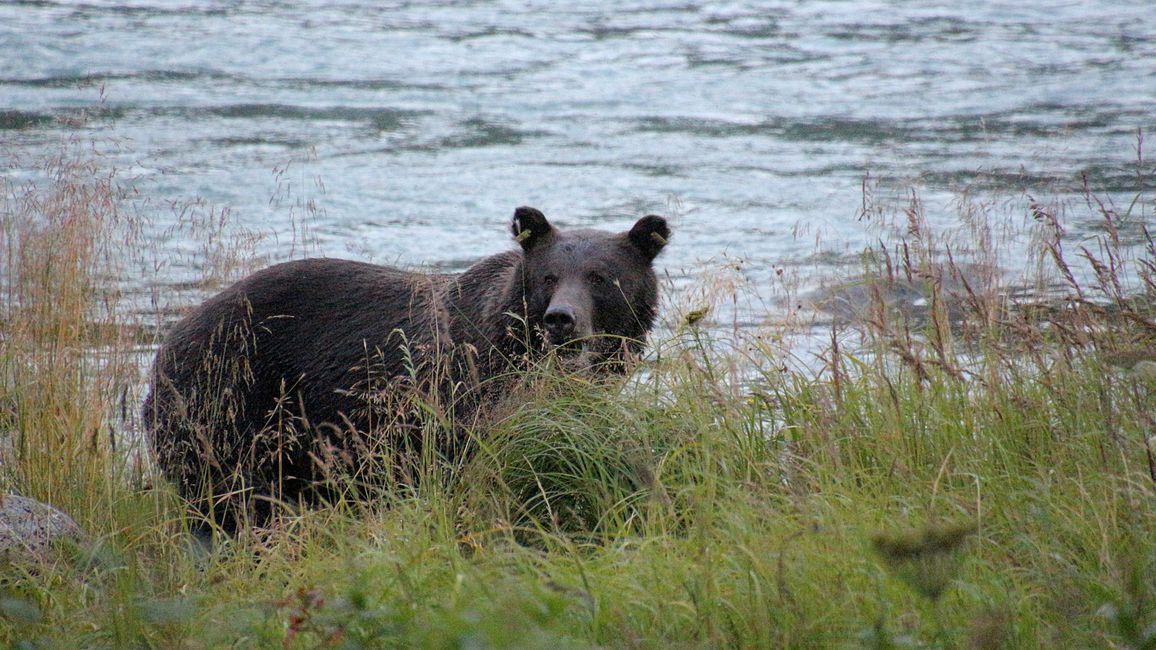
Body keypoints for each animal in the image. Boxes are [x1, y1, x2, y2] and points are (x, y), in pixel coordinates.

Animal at [143, 204, 670, 529]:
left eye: (600, 277)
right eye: (548, 276)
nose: (561, 319)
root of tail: (169, 342)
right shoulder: (460, 395)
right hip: (228, 400)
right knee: (231, 502)